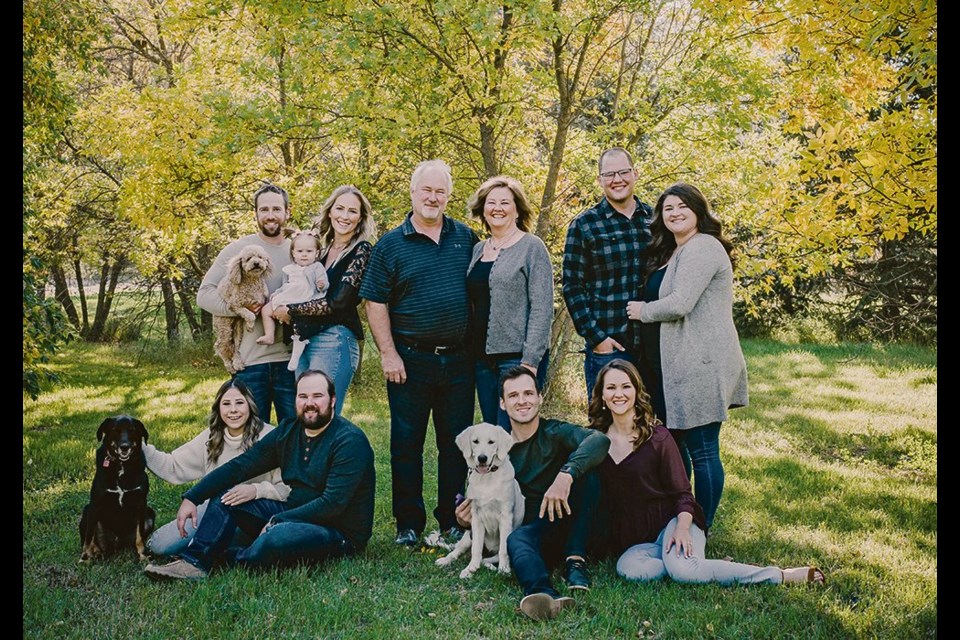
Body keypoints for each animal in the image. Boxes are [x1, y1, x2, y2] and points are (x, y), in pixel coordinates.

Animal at [79, 416, 155, 560]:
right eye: (115, 430)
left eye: (132, 430)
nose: (124, 447)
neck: (121, 466)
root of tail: (117, 542)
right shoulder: (95, 504)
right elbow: (88, 536)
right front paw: (85, 558)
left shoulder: (141, 503)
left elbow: (140, 534)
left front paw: (143, 554)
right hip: (87, 511)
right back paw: (96, 553)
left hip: (150, 513)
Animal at [210, 245, 270, 376]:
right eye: (248, 259)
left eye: (260, 257)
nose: (256, 263)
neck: (252, 282)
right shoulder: (234, 305)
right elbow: (250, 314)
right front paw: (251, 325)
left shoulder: (261, 302)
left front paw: (249, 326)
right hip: (224, 328)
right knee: (220, 346)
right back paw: (229, 365)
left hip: (238, 330)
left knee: (236, 347)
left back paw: (237, 363)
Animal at [436, 422, 524, 576]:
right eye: (475, 441)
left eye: (491, 442)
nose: (482, 458)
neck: (487, 478)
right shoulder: (476, 517)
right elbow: (476, 549)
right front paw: (470, 569)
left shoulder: (506, 516)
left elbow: (503, 550)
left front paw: (503, 569)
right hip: (467, 536)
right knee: (458, 551)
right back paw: (445, 560)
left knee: (490, 557)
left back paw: (492, 566)